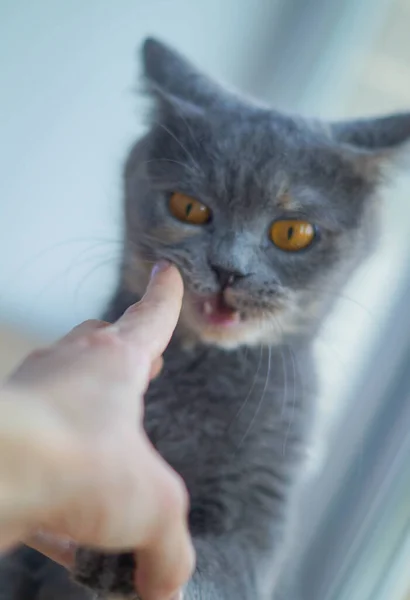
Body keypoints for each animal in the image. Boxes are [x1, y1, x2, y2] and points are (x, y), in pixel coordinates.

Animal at [2, 38, 410, 600]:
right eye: (188, 207)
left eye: (293, 233)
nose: (228, 270)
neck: (202, 376)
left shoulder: (261, 516)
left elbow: (223, 563)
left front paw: (129, 556)